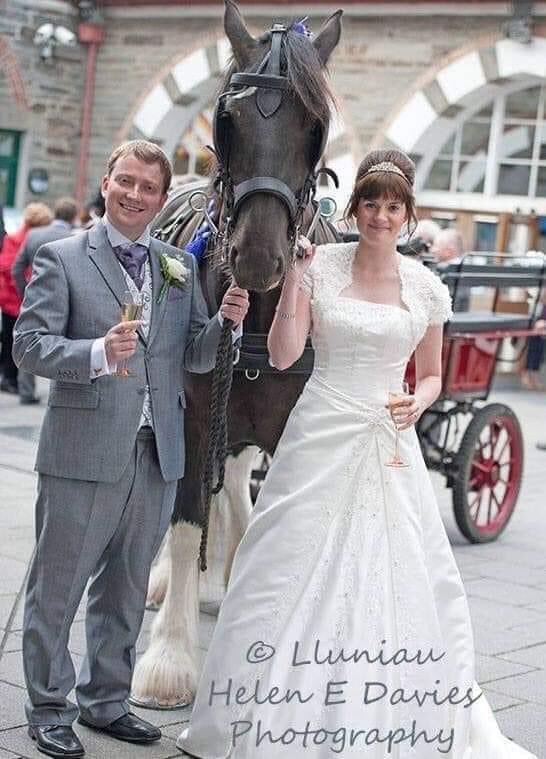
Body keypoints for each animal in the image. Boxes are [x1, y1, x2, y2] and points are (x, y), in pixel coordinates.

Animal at [130, 0, 340, 708]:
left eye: (316, 125)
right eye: (226, 120)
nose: (256, 256)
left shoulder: (289, 424)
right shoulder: (195, 412)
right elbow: (185, 515)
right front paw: (169, 661)